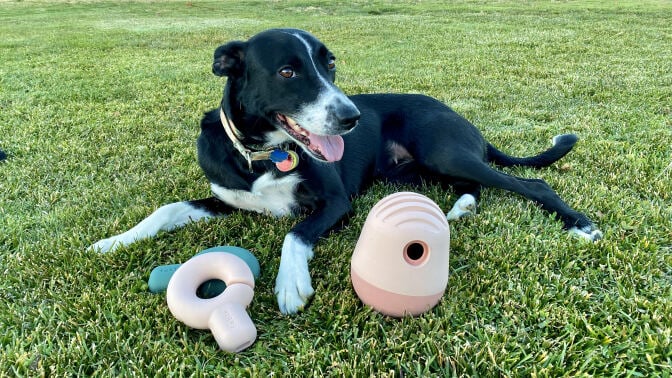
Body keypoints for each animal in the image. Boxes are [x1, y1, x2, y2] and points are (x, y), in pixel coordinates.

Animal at [90, 28, 604, 314]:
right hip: (414, 173)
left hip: (444, 151)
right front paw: (113, 241)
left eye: (330, 63)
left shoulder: (337, 201)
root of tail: (459, 116)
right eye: (287, 72)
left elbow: (294, 232)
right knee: (471, 185)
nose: (352, 117)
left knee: (530, 182)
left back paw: (580, 225)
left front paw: (291, 283)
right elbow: (167, 207)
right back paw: (461, 207)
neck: (262, 155)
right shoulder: (227, 198)